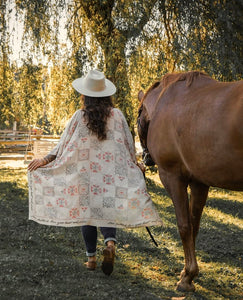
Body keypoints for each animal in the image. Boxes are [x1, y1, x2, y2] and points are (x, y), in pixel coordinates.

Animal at [138, 70, 242, 290]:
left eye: (138, 117)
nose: (146, 158)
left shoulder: (172, 177)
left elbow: (184, 226)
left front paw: (187, 278)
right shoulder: (199, 183)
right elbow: (194, 225)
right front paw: (189, 273)